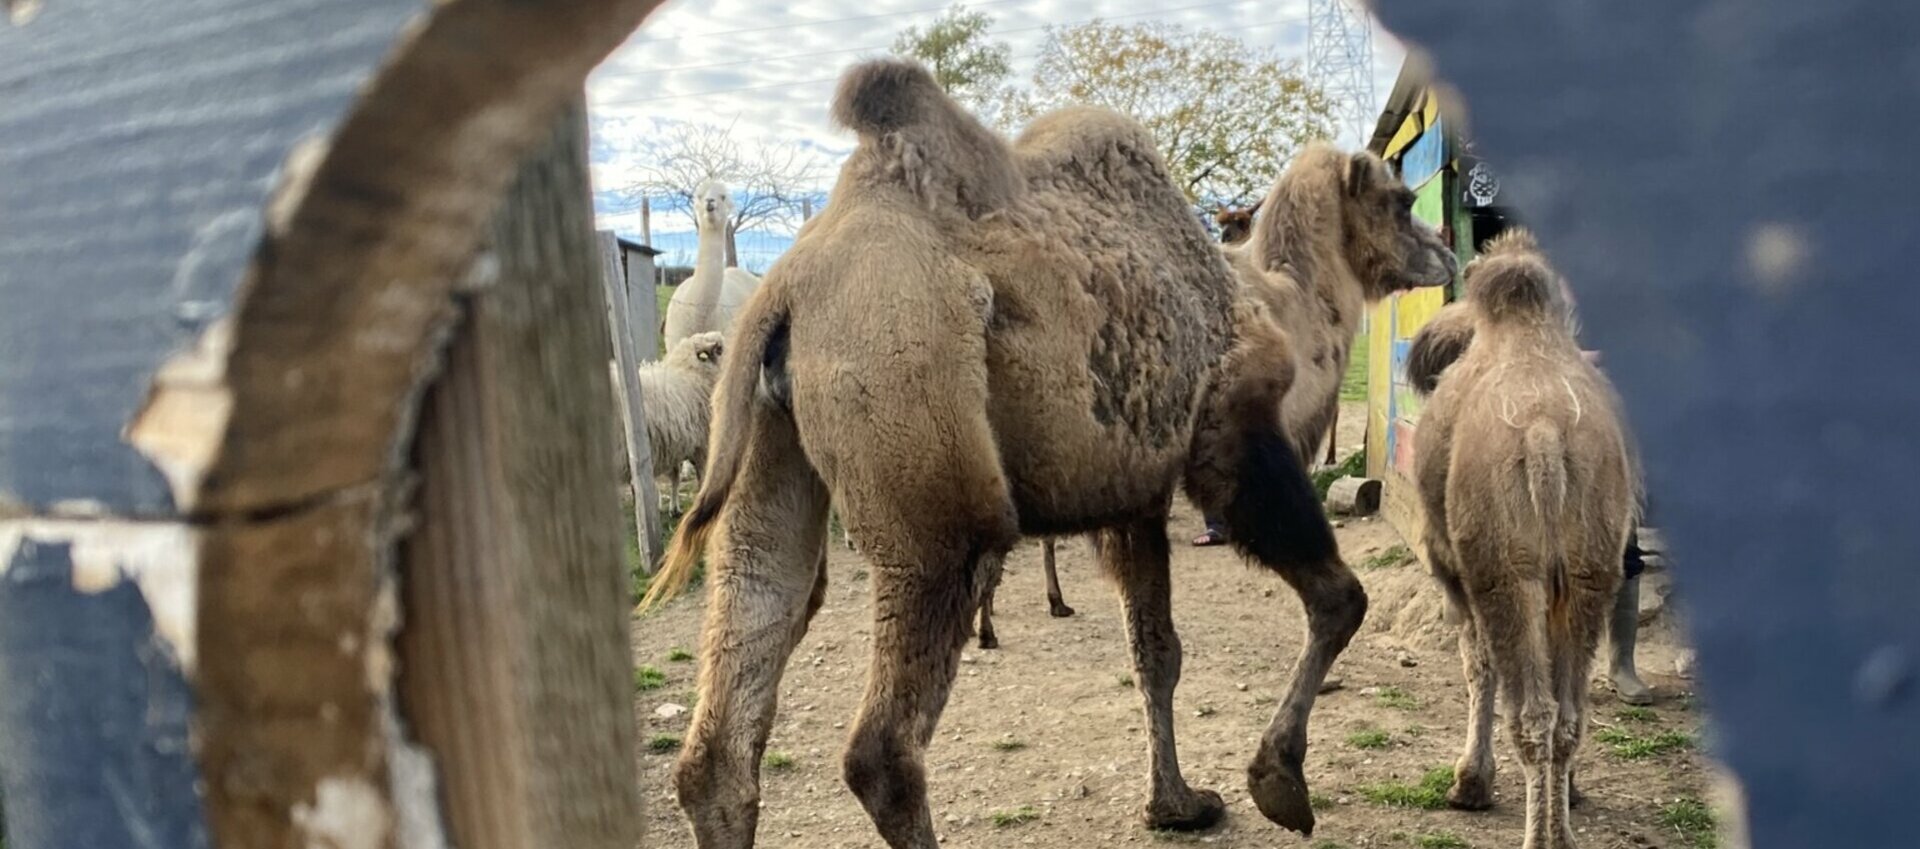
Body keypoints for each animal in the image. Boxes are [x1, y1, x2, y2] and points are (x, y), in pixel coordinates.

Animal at [1413, 230, 1635, 849]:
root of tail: (1543, 433)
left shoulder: (1454, 568)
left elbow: (1477, 664)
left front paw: (1470, 782)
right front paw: (1573, 789)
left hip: (1504, 572)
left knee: (1532, 713)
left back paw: (1540, 836)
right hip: (1591, 567)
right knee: (1565, 715)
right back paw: (1560, 827)